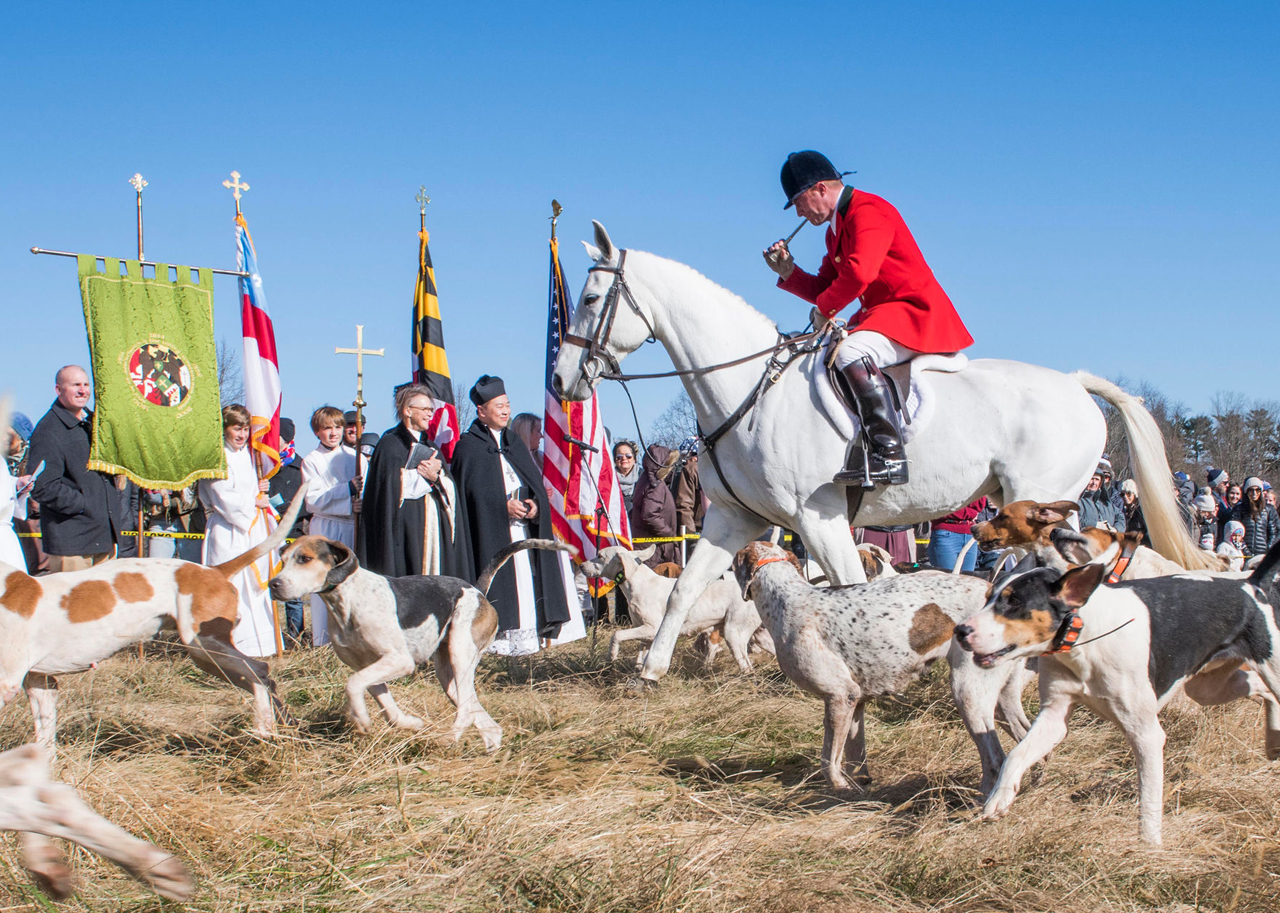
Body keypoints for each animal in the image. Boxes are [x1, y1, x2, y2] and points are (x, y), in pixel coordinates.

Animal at [555, 220, 1213, 686]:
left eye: (588, 298)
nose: (561, 382)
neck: (751, 389)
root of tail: (1076, 383)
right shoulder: (732, 516)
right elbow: (685, 589)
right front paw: (652, 668)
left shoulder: (818, 517)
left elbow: (850, 586)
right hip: (1029, 509)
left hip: (1037, 504)